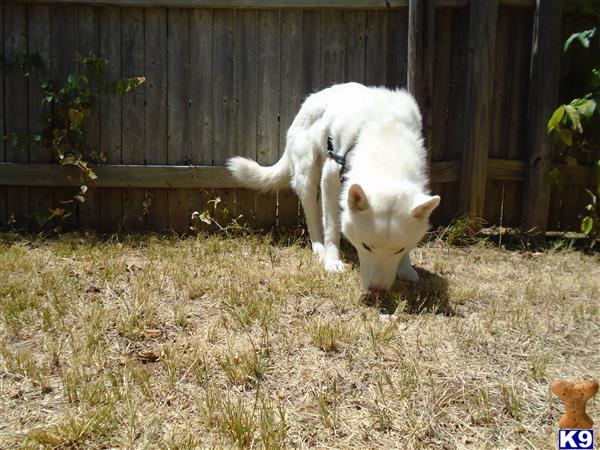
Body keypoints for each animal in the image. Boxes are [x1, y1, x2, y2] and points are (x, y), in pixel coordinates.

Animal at [227, 83, 438, 296]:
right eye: (366, 246)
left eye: (398, 250)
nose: (377, 292)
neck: (388, 146)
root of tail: (310, 100)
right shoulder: (331, 176)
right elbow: (331, 228)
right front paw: (333, 261)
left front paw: (406, 268)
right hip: (308, 177)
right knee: (313, 220)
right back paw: (319, 249)